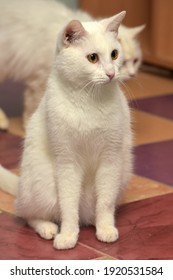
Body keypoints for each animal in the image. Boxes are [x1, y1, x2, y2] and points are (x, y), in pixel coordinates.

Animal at [0, 0, 144, 130]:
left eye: (135, 61)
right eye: (124, 63)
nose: (132, 74)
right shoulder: (39, 79)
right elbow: (34, 104)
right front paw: (29, 124)